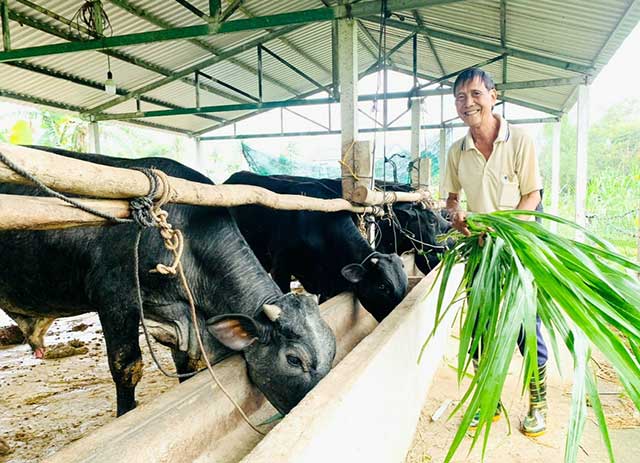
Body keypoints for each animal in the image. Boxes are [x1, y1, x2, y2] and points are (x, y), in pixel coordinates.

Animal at [0, 149, 338, 416]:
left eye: (332, 351)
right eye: (294, 359)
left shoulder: (182, 320)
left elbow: (187, 364)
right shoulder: (115, 301)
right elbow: (126, 368)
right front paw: (125, 414)